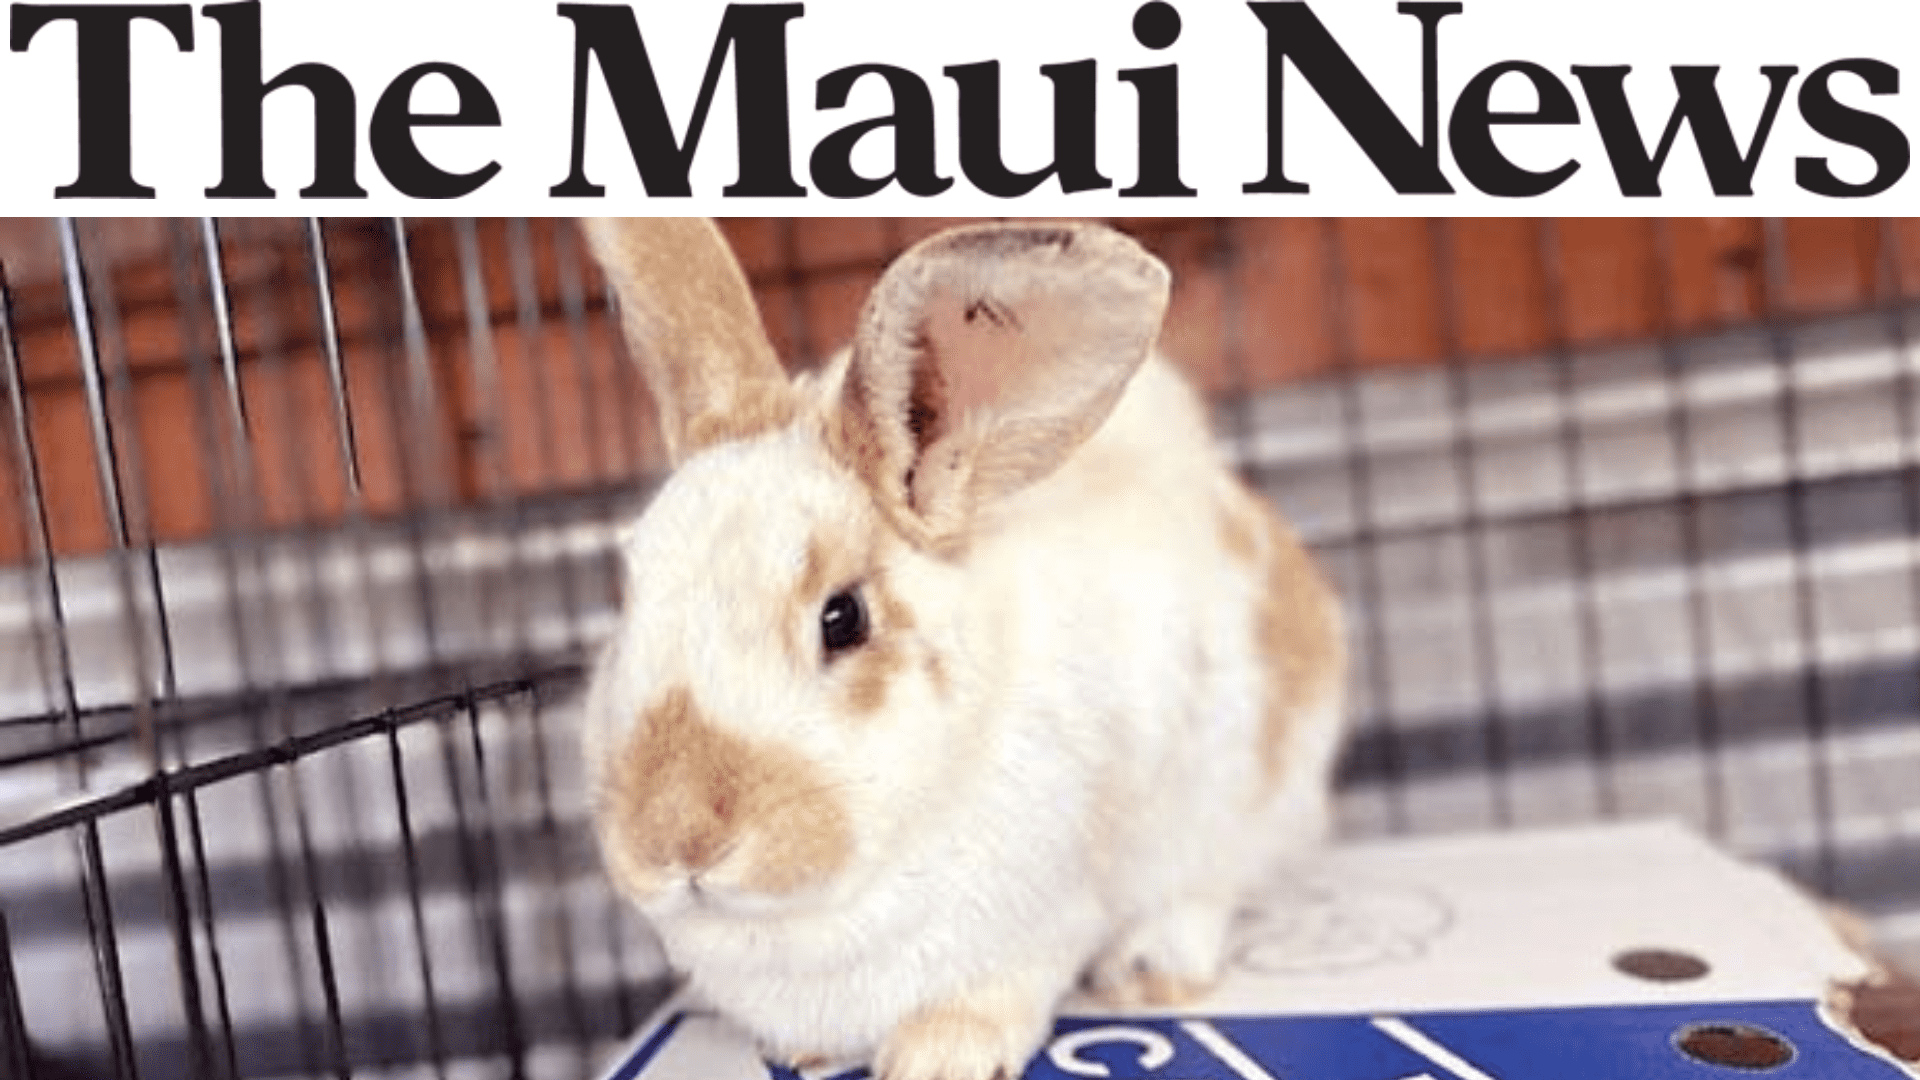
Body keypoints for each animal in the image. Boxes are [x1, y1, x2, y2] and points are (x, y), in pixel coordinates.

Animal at [579, 218, 1346, 1080]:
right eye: (630, 588)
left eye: (842, 618)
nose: (673, 841)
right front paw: (805, 1054)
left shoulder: (1042, 921)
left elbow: (990, 995)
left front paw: (938, 1058)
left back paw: (1148, 970)